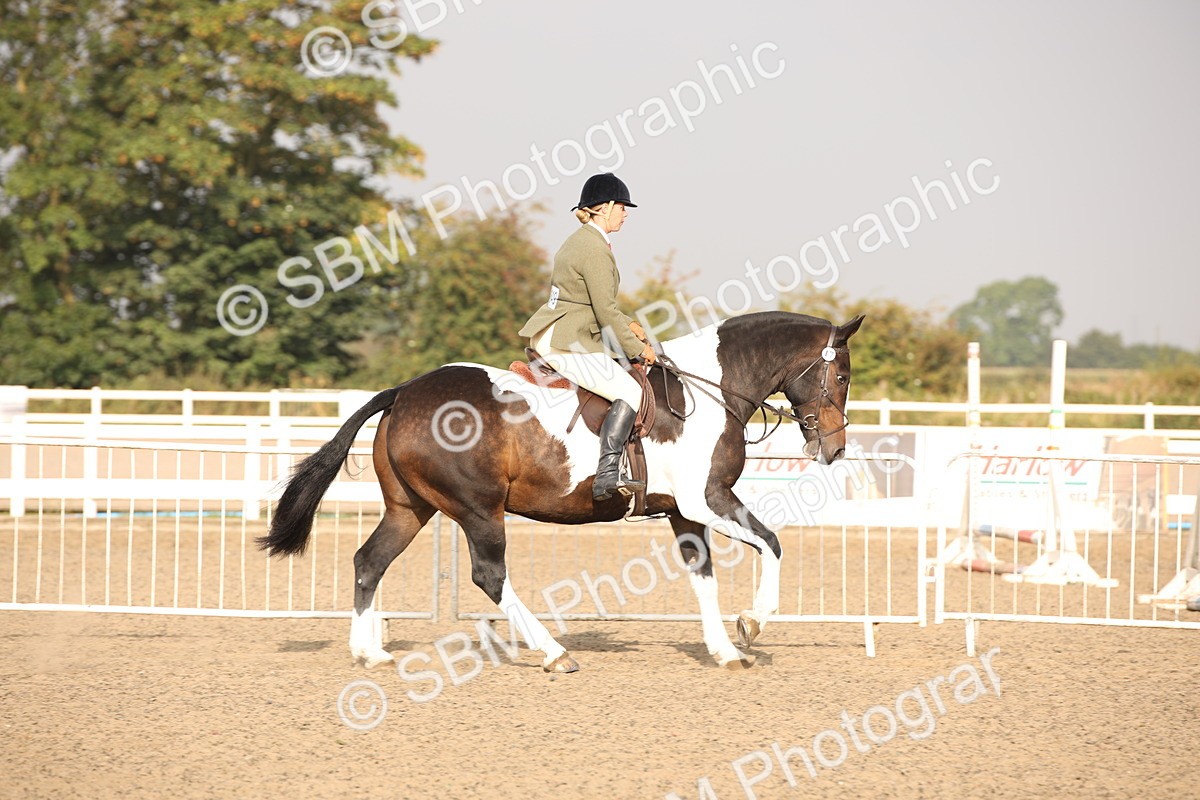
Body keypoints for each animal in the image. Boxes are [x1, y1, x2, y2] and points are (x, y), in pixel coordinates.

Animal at [259, 311, 864, 672]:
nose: (833, 448)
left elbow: (704, 578)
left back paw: (370, 652)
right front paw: (753, 623)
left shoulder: (684, 512)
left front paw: (724, 649)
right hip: (478, 509)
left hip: (412, 508)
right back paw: (552, 652)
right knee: (489, 576)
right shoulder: (707, 499)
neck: (710, 390)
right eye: (841, 377)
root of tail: (405, 390)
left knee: (369, 561)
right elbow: (772, 543)